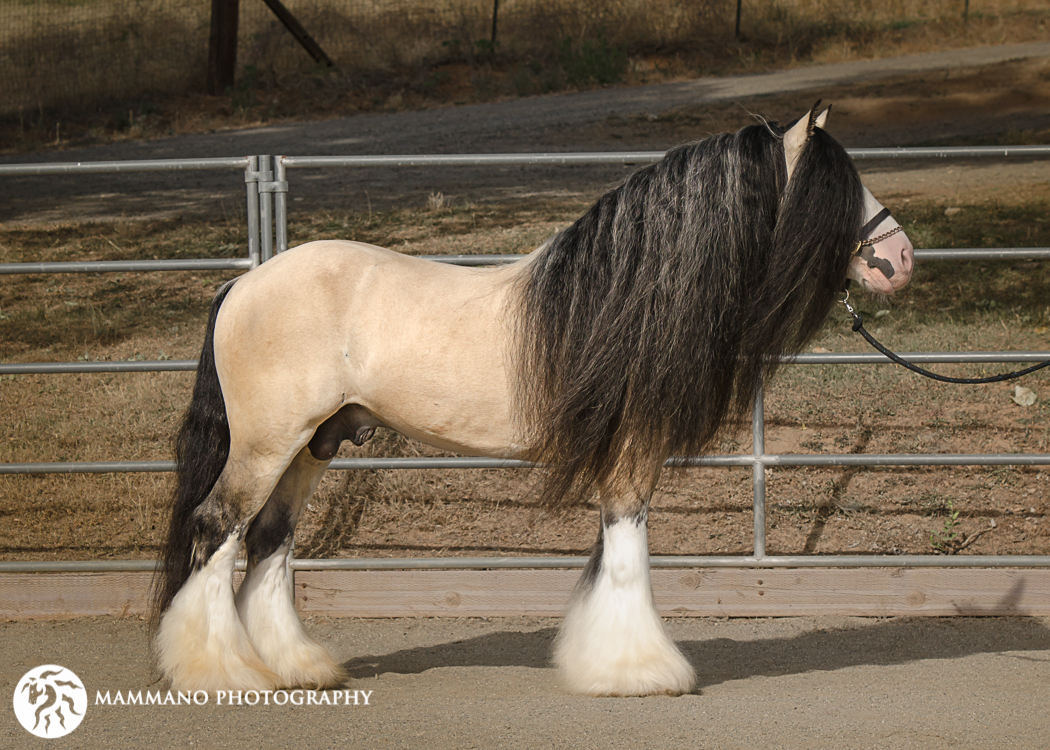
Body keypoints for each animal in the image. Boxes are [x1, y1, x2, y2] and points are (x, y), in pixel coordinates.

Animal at [148, 103, 911, 693]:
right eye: (838, 185)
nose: (901, 258)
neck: (623, 294)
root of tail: (243, 284)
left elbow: (612, 551)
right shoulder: (633, 444)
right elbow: (628, 546)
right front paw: (640, 672)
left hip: (315, 443)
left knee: (269, 540)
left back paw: (298, 667)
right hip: (267, 443)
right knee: (218, 528)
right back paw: (220, 673)